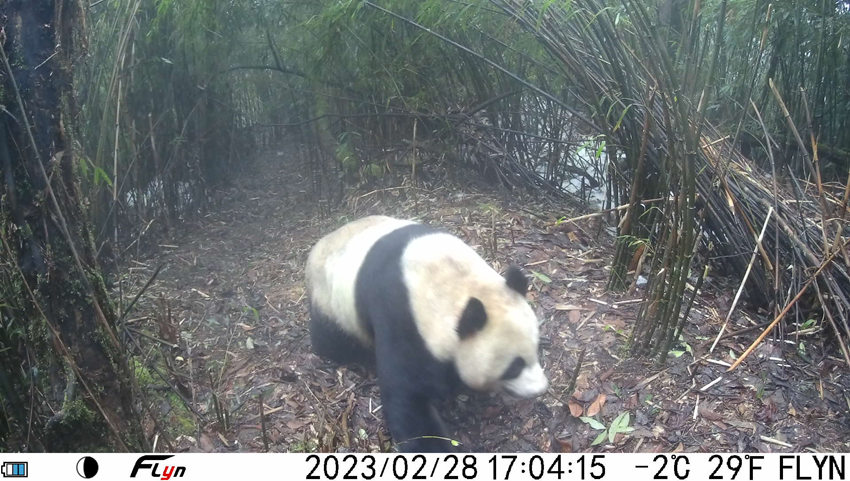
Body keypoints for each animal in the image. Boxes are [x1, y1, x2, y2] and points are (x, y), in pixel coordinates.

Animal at [306, 215, 548, 452]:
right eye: (514, 367)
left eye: (536, 350)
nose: (540, 388)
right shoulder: (401, 318)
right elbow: (408, 396)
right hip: (333, 303)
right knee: (334, 341)